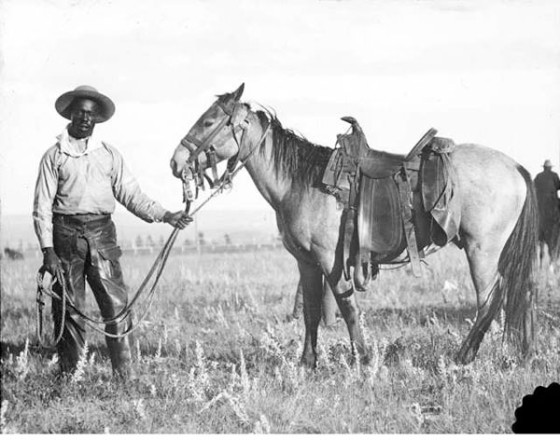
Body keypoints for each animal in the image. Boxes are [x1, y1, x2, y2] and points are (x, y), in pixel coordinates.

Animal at [170, 84, 540, 366]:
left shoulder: (331, 260)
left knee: (490, 299)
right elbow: (311, 310)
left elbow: (347, 308)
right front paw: (307, 363)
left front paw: (361, 358)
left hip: (482, 250)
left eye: (208, 121)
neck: (299, 182)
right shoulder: (306, 261)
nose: (176, 162)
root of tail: (516, 167)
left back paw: (463, 356)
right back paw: (522, 353)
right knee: (521, 291)